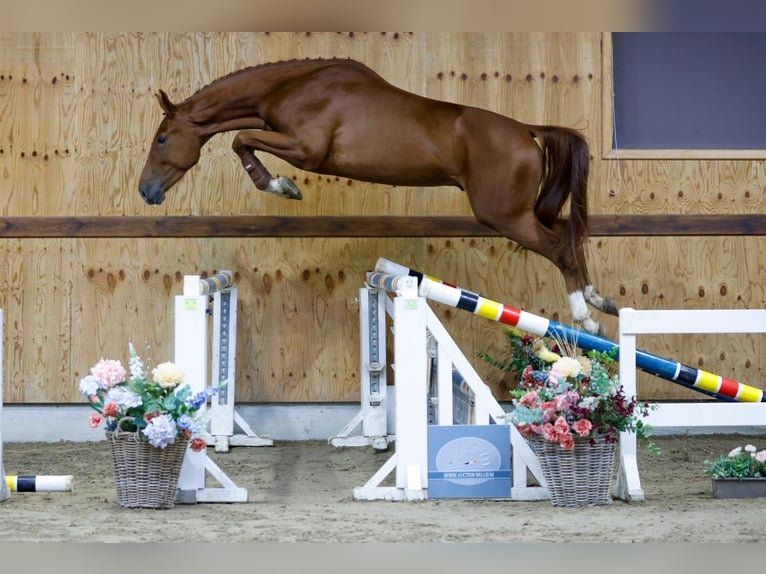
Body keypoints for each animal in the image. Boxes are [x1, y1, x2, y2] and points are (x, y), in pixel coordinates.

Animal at [138, 57, 616, 332]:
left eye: (162, 138)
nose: (146, 191)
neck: (293, 87)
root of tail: (526, 130)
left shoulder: (306, 149)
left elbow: (241, 140)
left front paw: (281, 186)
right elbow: (243, 140)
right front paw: (280, 185)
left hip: (504, 216)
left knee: (560, 247)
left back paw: (585, 316)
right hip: (521, 212)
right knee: (569, 235)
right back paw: (599, 298)